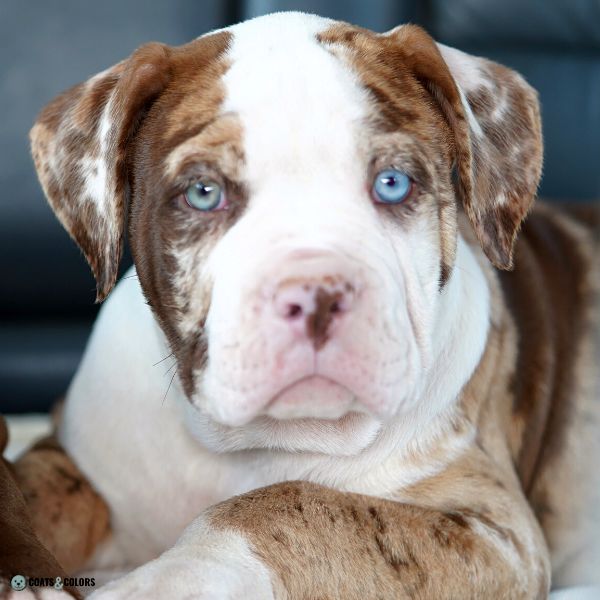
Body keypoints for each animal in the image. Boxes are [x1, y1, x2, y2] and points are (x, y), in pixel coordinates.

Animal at [25, 10, 596, 600]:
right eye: (204, 193)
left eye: (393, 183)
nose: (317, 294)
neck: (253, 445)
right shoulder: (68, 457)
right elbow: (36, 494)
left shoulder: (493, 532)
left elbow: (286, 506)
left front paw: (150, 583)